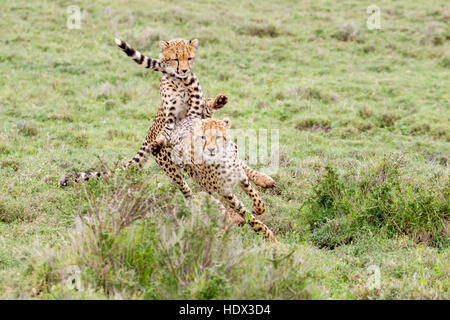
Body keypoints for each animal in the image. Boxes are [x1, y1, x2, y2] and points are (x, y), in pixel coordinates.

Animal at [59, 37, 274, 198]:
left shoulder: (201, 113)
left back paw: (263, 179)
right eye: (175, 59)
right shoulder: (174, 116)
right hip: (170, 164)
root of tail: (148, 134)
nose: (184, 70)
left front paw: (219, 100)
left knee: (238, 163)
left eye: (189, 58)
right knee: (185, 187)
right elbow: (171, 126)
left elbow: (208, 105)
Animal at [168, 116, 278, 244]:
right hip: (174, 171)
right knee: (189, 192)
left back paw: (264, 179)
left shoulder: (240, 175)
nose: (210, 149)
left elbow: (254, 196)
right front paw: (265, 233)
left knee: (243, 165)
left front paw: (258, 208)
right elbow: (242, 210)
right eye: (203, 137)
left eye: (218, 137)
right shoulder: (224, 191)